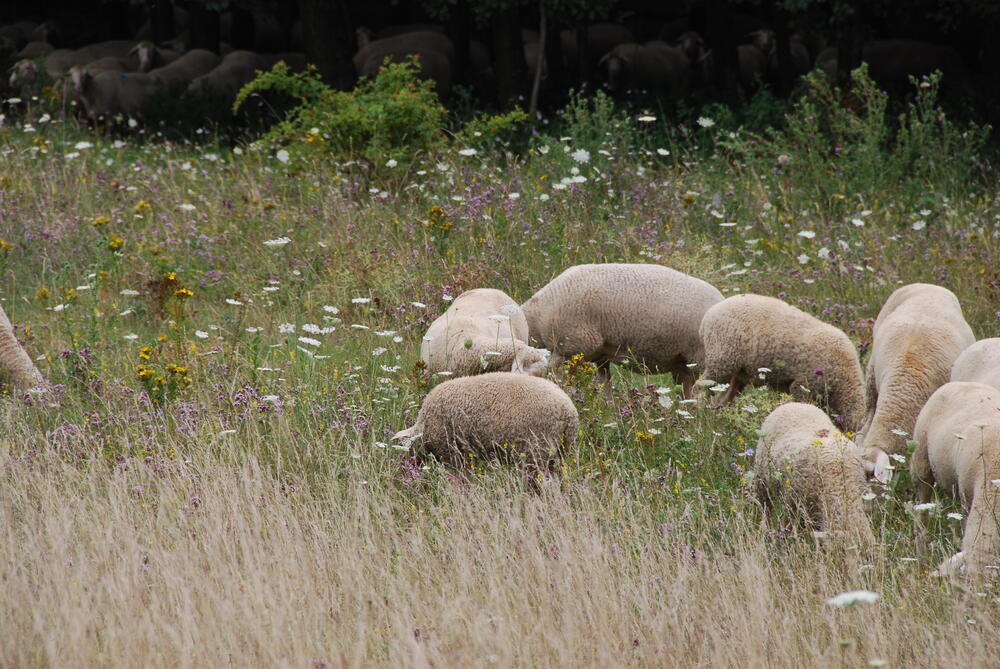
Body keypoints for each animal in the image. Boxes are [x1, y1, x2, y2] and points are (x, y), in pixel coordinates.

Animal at [392, 372, 577, 480]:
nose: (406, 466)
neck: (423, 426)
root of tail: (568, 410)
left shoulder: (452, 451)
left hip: (536, 449)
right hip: (558, 452)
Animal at [520, 263, 723, 397]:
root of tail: (722, 300)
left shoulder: (568, 347)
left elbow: (558, 378)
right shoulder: (599, 356)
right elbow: (605, 385)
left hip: (701, 358)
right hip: (682, 362)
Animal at [699, 294, 866, 432]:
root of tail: (708, 316)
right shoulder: (803, 386)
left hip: (738, 371)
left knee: (726, 398)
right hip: (721, 359)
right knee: (700, 387)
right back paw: (698, 412)